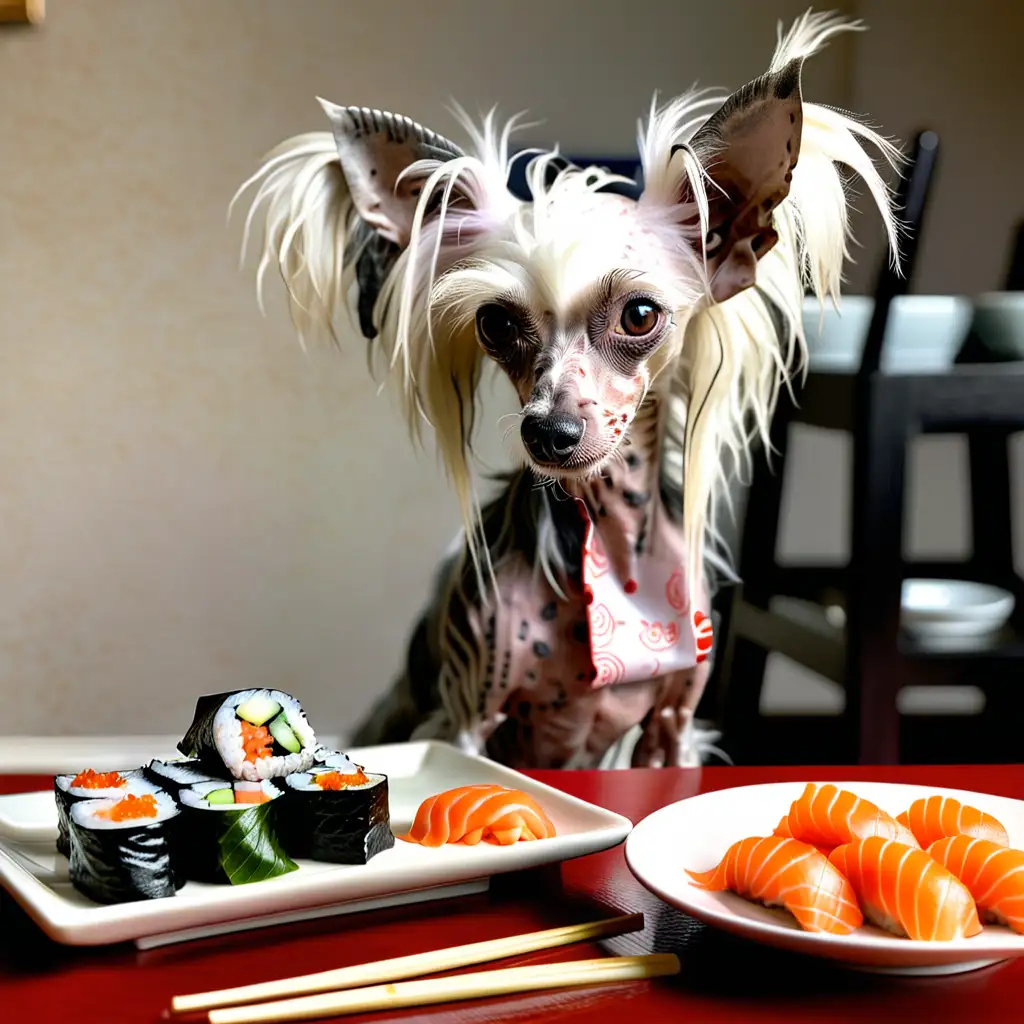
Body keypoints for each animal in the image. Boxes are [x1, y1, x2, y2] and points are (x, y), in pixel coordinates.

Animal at [235, 12, 901, 770]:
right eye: (496, 322)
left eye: (640, 314)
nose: (549, 433)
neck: (611, 545)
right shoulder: (466, 717)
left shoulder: (674, 728)